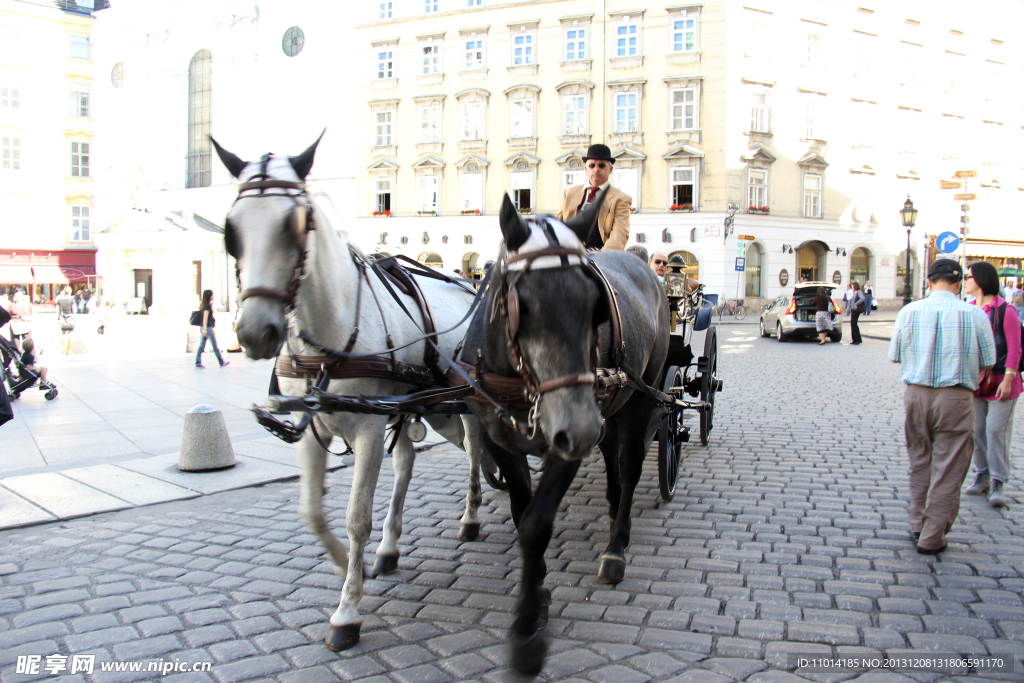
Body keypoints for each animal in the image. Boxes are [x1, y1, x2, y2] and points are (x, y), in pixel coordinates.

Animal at [211, 135, 487, 651]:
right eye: (231, 230)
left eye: (295, 224)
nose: (256, 332)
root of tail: (468, 284)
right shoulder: (312, 428)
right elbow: (312, 512)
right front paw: (344, 565)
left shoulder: (367, 431)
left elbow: (356, 516)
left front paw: (347, 611)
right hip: (417, 405)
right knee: (407, 463)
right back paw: (390, 547)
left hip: (468, 402)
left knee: (477, 451)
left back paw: (471, 516)